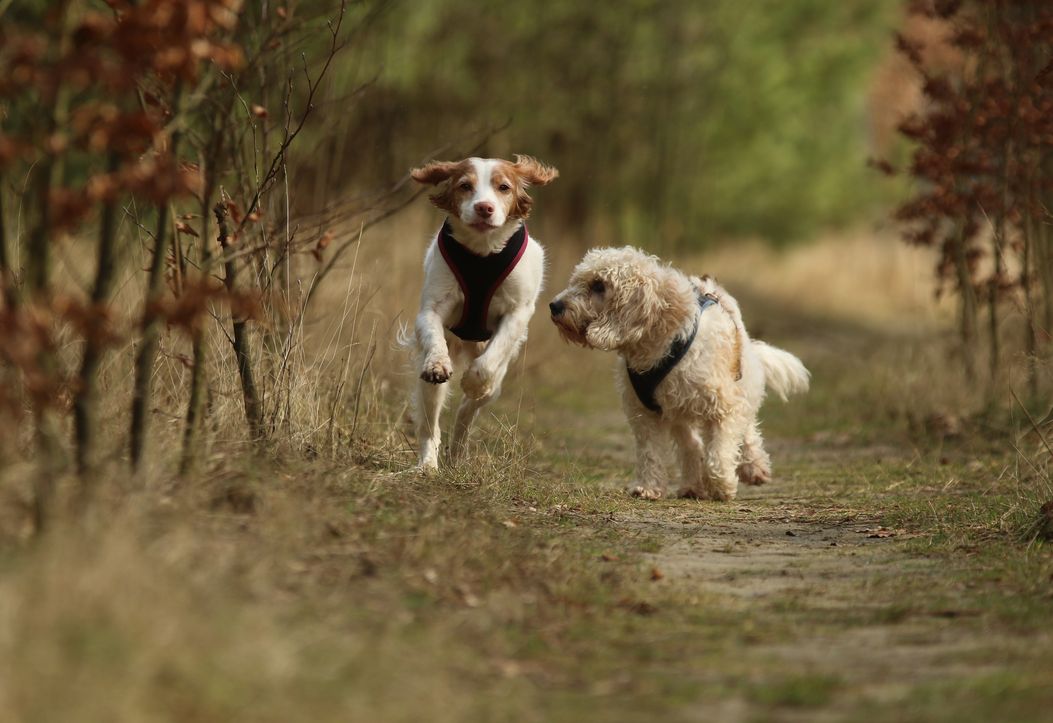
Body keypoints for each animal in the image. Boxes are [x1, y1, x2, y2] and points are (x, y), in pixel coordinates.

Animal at [408, 153, 564, 469]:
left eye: (503, 187)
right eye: (465, 186)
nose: (484, 208)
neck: (481, 251)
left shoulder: (517, 313)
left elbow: (486, 366)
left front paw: (472, 381)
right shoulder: (431, 307)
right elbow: (433, 335)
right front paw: (438, 364)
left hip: (497, 384)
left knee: (468, 410)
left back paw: (458, 451)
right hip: (429, 389)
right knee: (430, 424)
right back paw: (428, 464)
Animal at [547, 246, 808, 500]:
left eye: (599, 285)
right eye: (577, 280)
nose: (554, 306)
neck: (659, 344)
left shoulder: (724, 406)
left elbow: (718, 453)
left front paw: (722, 486)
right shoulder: (644, 413)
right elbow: (650, 453)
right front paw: (648, 487)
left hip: (742, 386)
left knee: (747, 431)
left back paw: (754, 468)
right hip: (679, 412)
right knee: (693, 446)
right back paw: (692, 486)